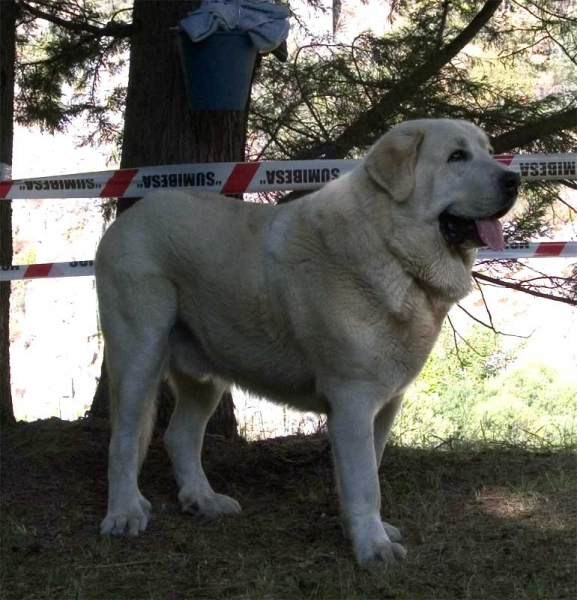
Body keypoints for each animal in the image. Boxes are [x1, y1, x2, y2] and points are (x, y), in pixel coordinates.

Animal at [95, 119, 520, 568]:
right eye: (457, 156)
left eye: (488, 151)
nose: (515, 180)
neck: (390, 246)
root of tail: (130, 216)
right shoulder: (353, 401)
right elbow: (365, 481)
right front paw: (373, 548)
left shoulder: (386, 403)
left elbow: (370, 465)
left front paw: (363, 532)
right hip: (140, 353)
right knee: (124, 439)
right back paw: (124, 513)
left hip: (205, 373)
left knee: (180, 436)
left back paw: (203, 500)